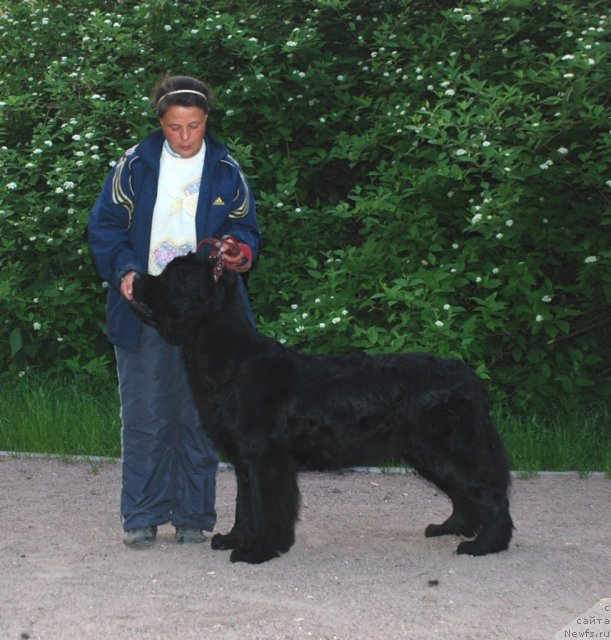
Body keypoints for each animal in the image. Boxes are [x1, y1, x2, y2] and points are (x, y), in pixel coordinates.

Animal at [131, 248, 512, 564]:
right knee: (465, 497)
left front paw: (258, 551)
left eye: (167, 277)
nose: (134, 278)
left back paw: (484, 545)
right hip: (430, 454)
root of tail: (471, 380)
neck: (233, 357)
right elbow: (245, 506)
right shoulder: (244, 460)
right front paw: (234, 539)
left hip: (447, 452)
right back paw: (450, 528)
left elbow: (266, 507)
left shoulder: (265, 458)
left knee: (491, 496)